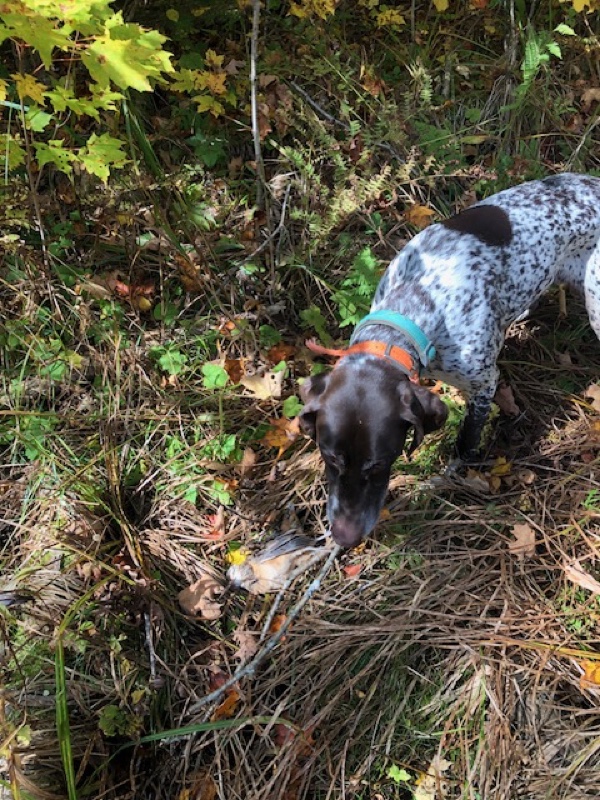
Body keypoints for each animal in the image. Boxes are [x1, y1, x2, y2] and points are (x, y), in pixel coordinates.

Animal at [298, 173, 600, 552]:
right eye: (329, 456)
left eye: (378, 464)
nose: (343, 537)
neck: (419, 299)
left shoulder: (484, 383)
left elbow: (466, 440)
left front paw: (451, 476)